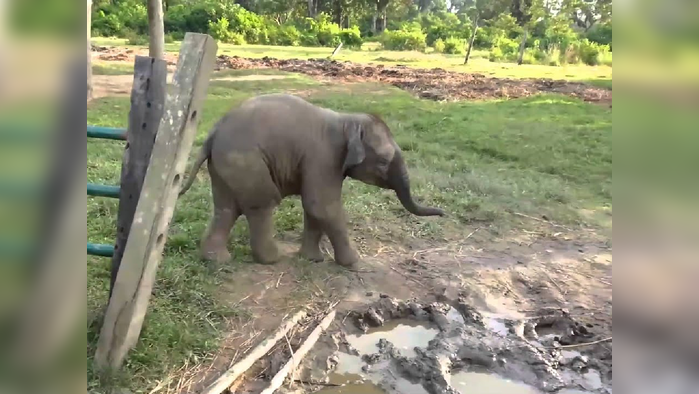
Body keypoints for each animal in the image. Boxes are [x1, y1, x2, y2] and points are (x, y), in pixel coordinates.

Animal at [179, 94, 442, 270]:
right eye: (384, 161)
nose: (442, 213)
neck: (347, 121)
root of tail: (213, 132)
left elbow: (314, 208)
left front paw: (312, 259)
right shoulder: (324, 157)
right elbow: (322, 206)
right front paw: (355, 263)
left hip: (224, 166)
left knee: (226, 208)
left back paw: (217, 260)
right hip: (246, 162)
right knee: (262, 203)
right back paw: (272, 259)